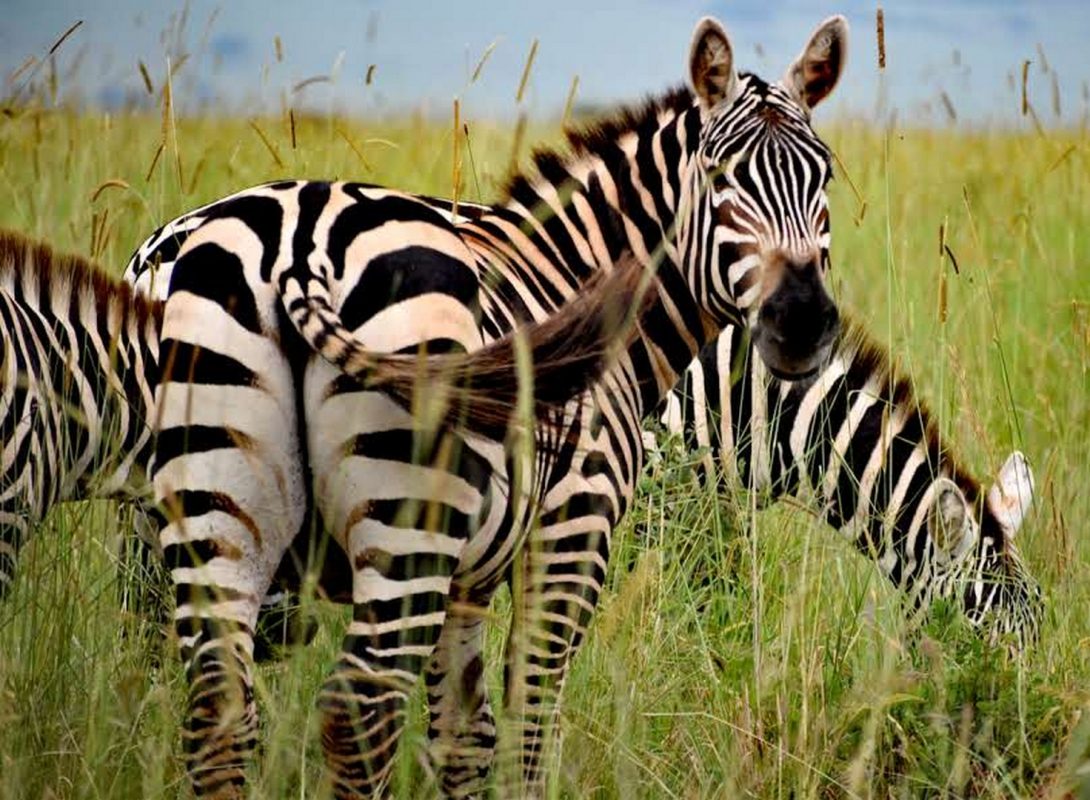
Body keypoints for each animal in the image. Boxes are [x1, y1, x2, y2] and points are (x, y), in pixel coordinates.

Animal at [134, 14, 850, 800]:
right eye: (721, 178)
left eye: (824, 178)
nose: (803, 321)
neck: (575, 272)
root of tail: (301, 241)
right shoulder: (571, 529)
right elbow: (529, 722)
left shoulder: (470, 579)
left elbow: (463, 734)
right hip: (406, 527)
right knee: (360, 710)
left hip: (205, 517)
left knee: (217, 705)